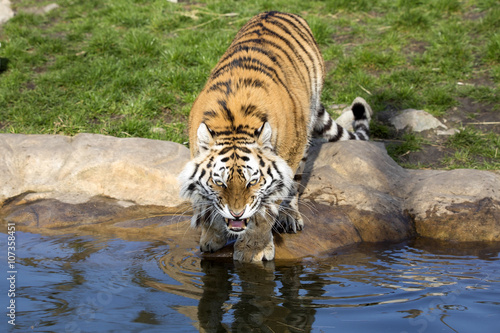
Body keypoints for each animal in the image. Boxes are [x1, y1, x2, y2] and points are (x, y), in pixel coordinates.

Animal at [178, 11, 370, 262]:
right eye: (219, 182)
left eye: (252, 181)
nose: (236, 213)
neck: (233, 122)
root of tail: (277, 11)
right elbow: (206, 203)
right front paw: (212, 239)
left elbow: (265, 211)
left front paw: (253, 251)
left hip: (303, 137)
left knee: (294, 185)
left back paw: (290, 217)